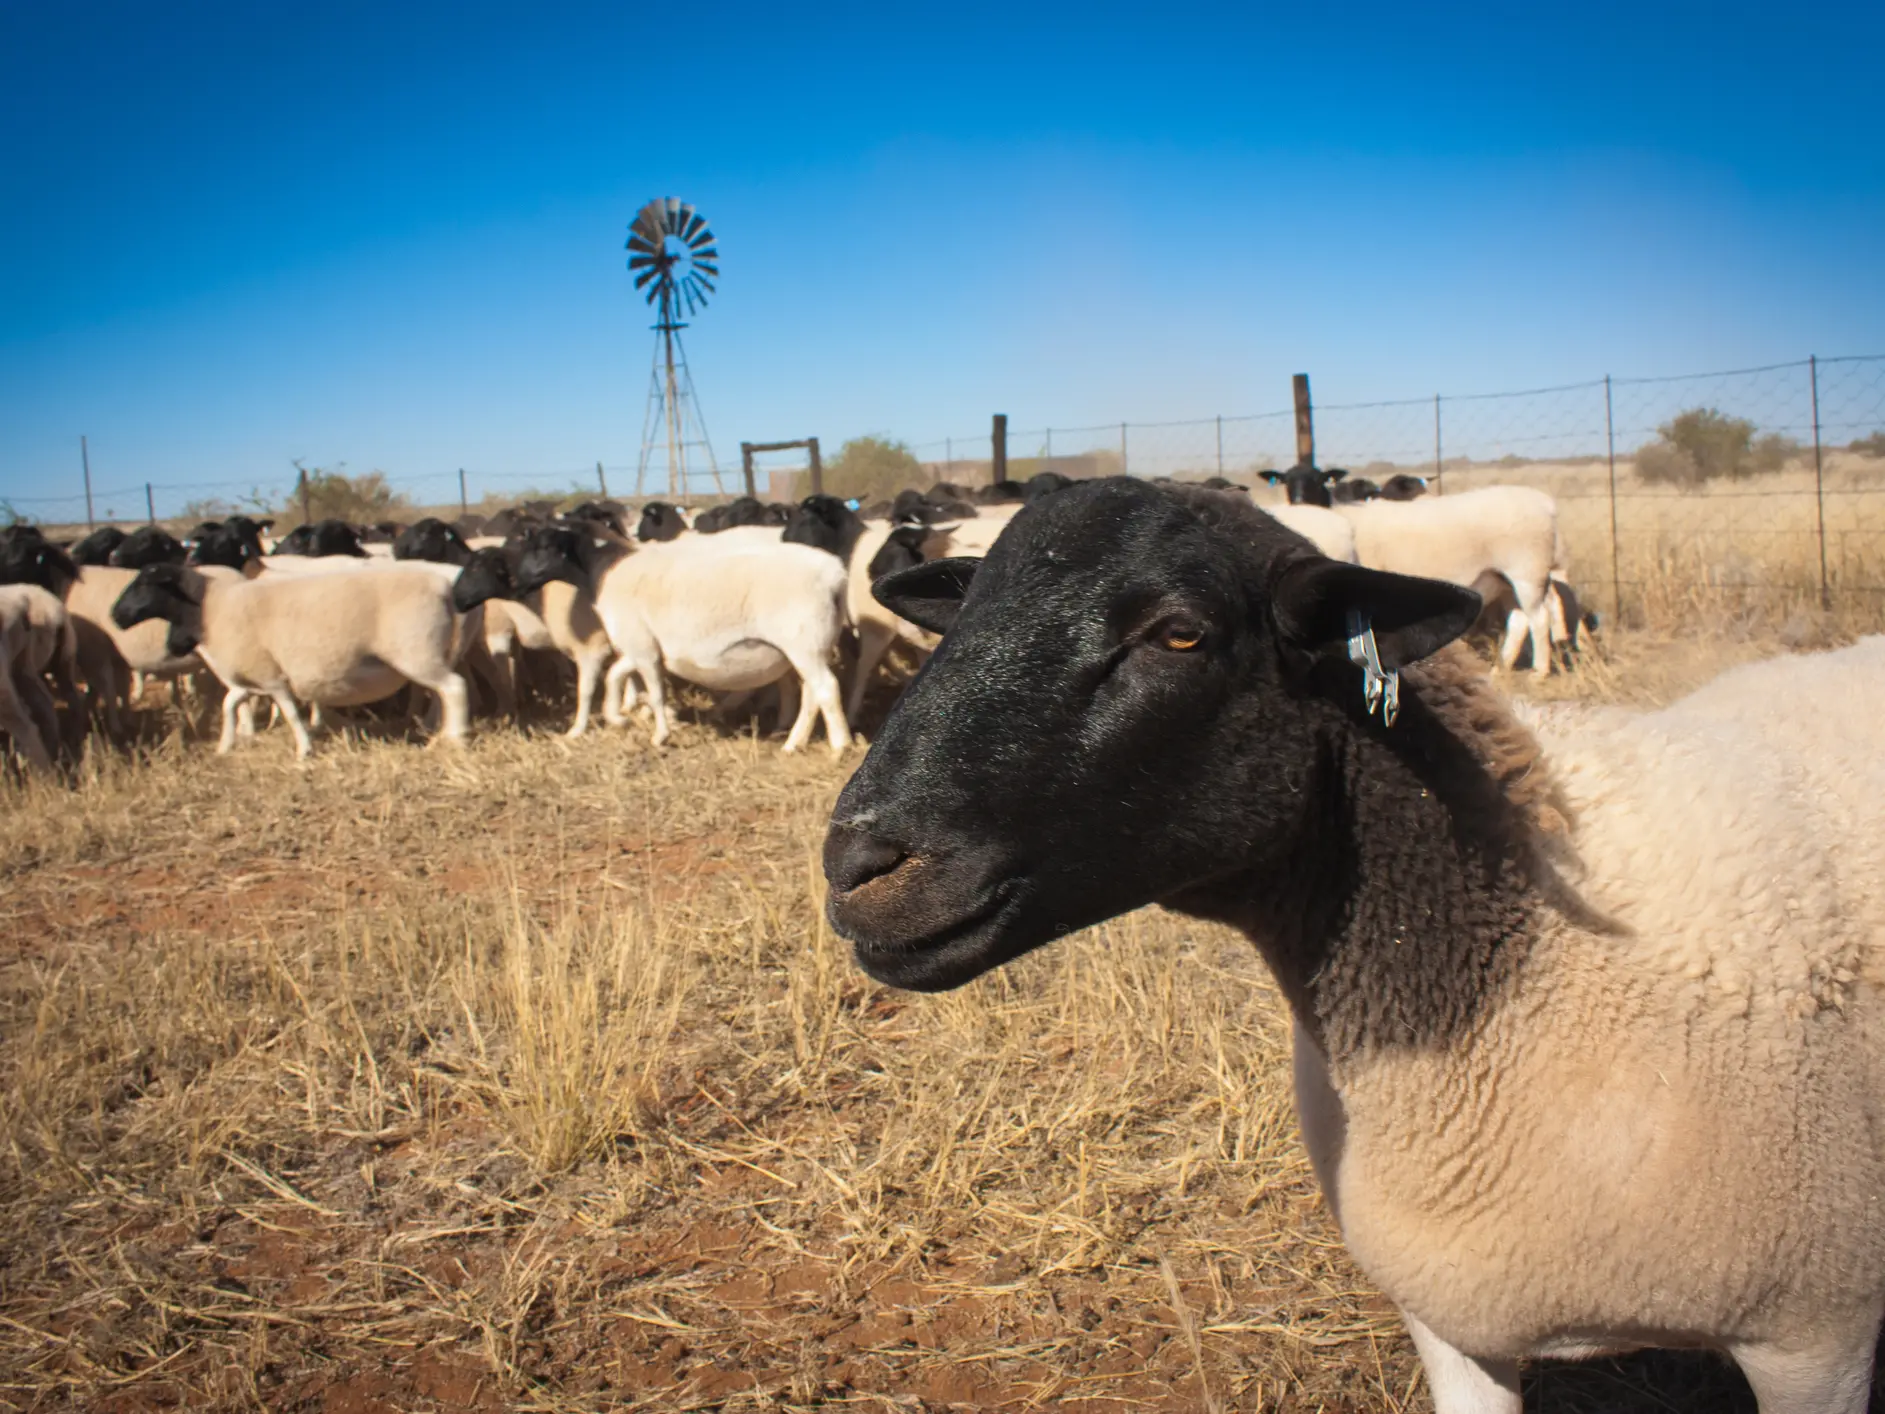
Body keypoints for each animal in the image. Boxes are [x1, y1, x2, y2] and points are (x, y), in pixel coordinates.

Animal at [109, 559, 507, 757]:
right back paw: (439, 733)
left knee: (453, 689)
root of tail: (445, 588)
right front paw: (225, 745)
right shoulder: (253, 674)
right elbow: (231, 703)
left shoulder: (271, 676)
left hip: (417, 653)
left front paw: (303, 751)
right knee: (445, 692)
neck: (211, 609)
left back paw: (456, 739)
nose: (116, 615)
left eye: (145, 583)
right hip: (432, 654)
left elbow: (287, 711)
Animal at [1337, 484, 1562, 676]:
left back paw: (1539, 672)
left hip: (1526, 572)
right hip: (1504, 579)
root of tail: (1546, 503)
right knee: (1521, 619)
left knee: (1539, 618)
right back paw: (1500, 670)